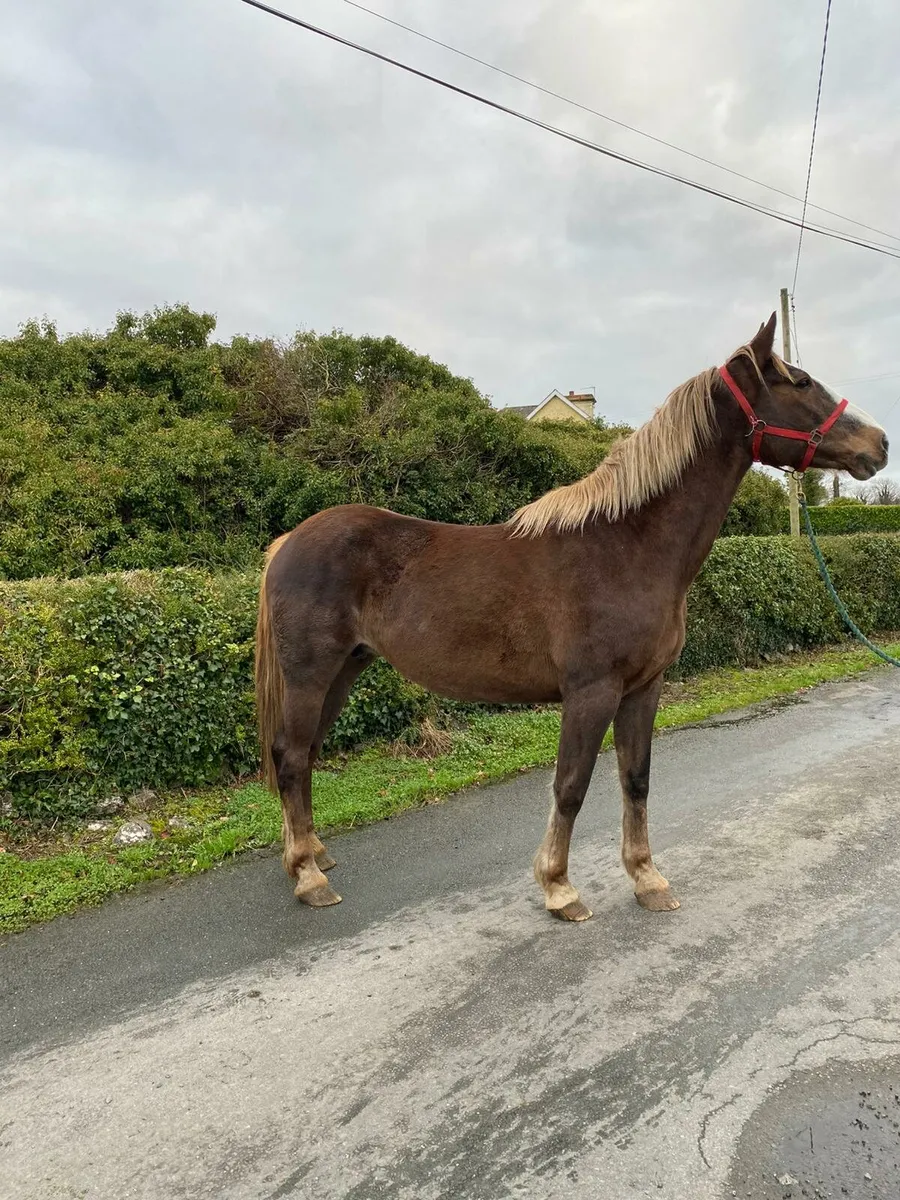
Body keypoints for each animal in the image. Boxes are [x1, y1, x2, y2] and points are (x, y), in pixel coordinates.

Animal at [255, 314, 888, 921]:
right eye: (799, 382)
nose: (879, 443)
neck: (626, 546)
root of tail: (287, 543)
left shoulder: (644, 688)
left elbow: (636, 780)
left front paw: (647, 877)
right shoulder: (591, 691)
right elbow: (571, 786)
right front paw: (559, 887)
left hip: (344, 671)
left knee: (303, 758)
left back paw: (313, 855)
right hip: (312, 675)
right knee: (291, 756)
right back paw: (307, 876)